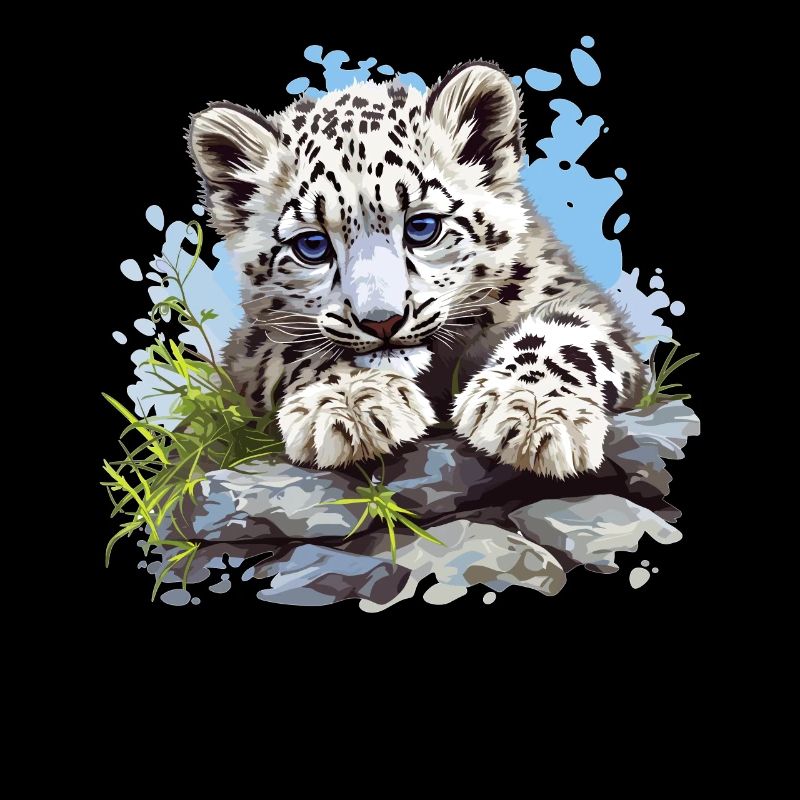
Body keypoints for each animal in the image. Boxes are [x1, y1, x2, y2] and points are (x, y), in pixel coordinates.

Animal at [188, 61, 646, 478]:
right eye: (312, 246)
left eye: (422, 227)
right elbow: (295, 351)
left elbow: (567, 335)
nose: (381, 322)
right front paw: (349, 404)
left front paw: (530, 411)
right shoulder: (251, 346)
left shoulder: (566, 290)